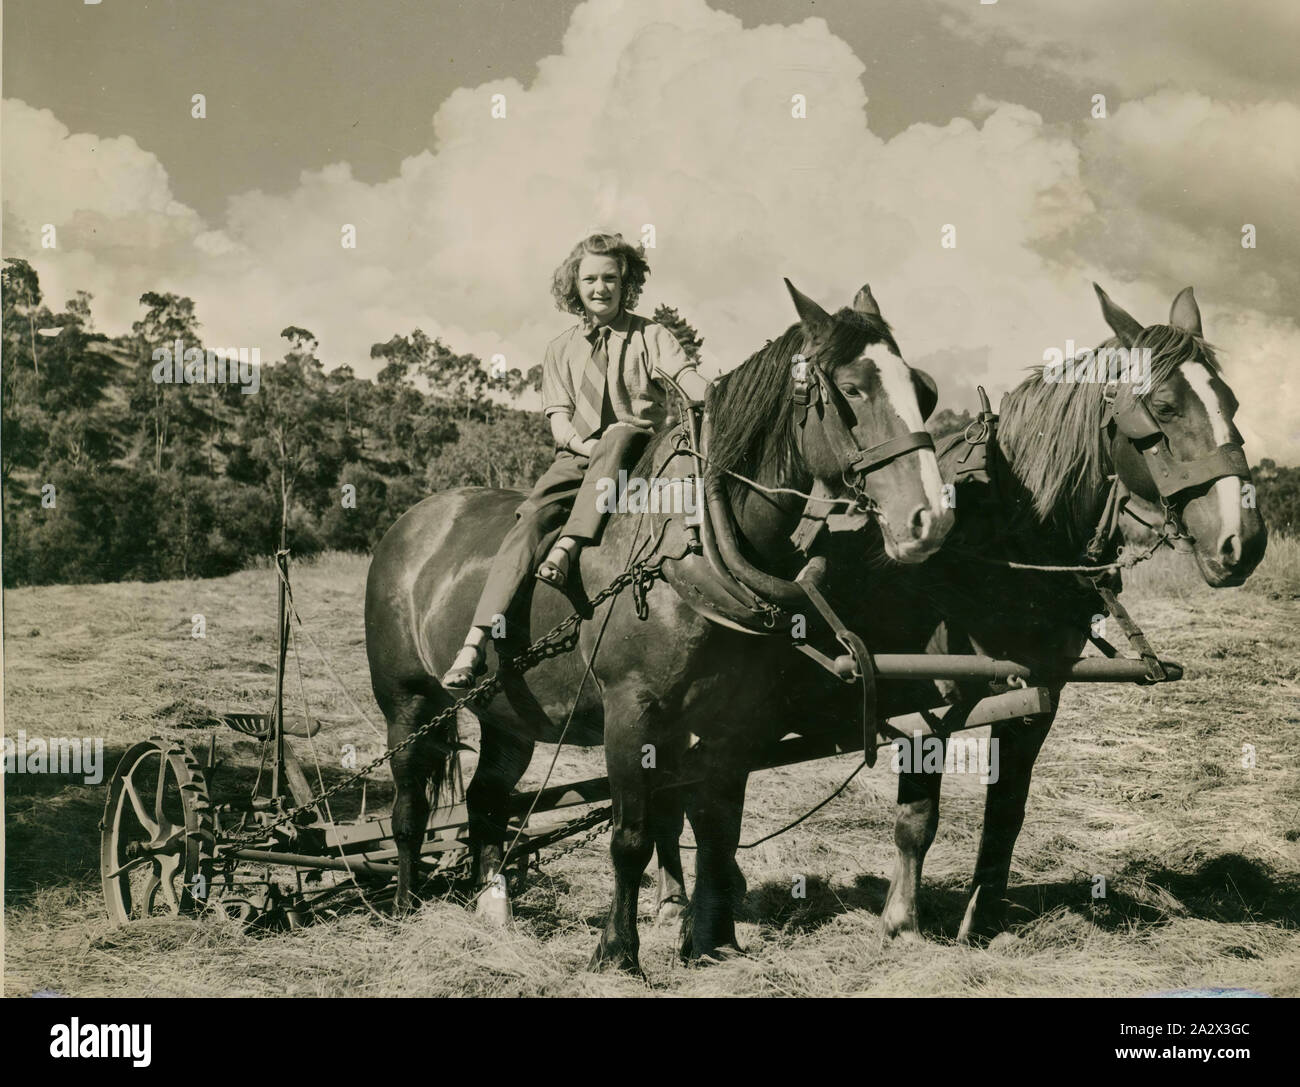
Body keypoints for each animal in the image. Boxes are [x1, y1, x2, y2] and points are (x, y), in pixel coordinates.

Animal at [364, 279, 954, 971]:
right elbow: (632, 835)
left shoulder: (732, 722)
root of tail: (413, 521)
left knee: (487, 799)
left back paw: (493, 905)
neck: (694, 547)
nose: (930, 520)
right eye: (853, 390)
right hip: (407, 699)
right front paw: (617, 951)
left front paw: (714, 940)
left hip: (508, 714)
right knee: (408, 804)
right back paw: (406, 902)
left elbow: (717, 825)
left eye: (924, 390)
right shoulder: (632, 712)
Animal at [779, 283, 1267, 944]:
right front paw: (902, 922)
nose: (1244, 542)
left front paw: (980, 922)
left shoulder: (1038, 695)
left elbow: (1007, 812)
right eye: (1163, 408)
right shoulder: (917, 699)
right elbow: (917, 815)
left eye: (1231, 401)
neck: (1005, 545)